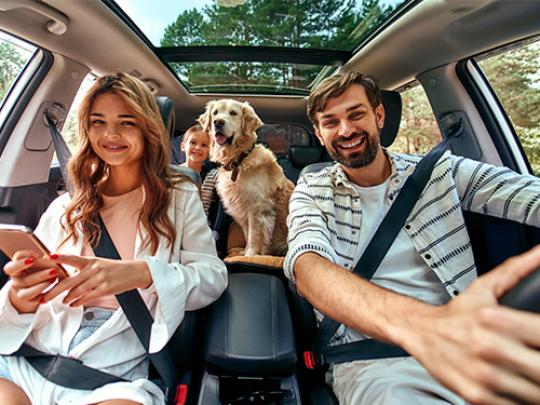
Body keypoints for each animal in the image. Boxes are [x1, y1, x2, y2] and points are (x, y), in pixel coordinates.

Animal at [198, 98, 294, 256]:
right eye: (215, 113)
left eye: (233, 113)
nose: (218, 122)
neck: (239, 160)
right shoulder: (242, 208)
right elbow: (247, 233)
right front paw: (246, 252)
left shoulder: (256, 208)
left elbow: (254, 235)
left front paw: (251, 255)